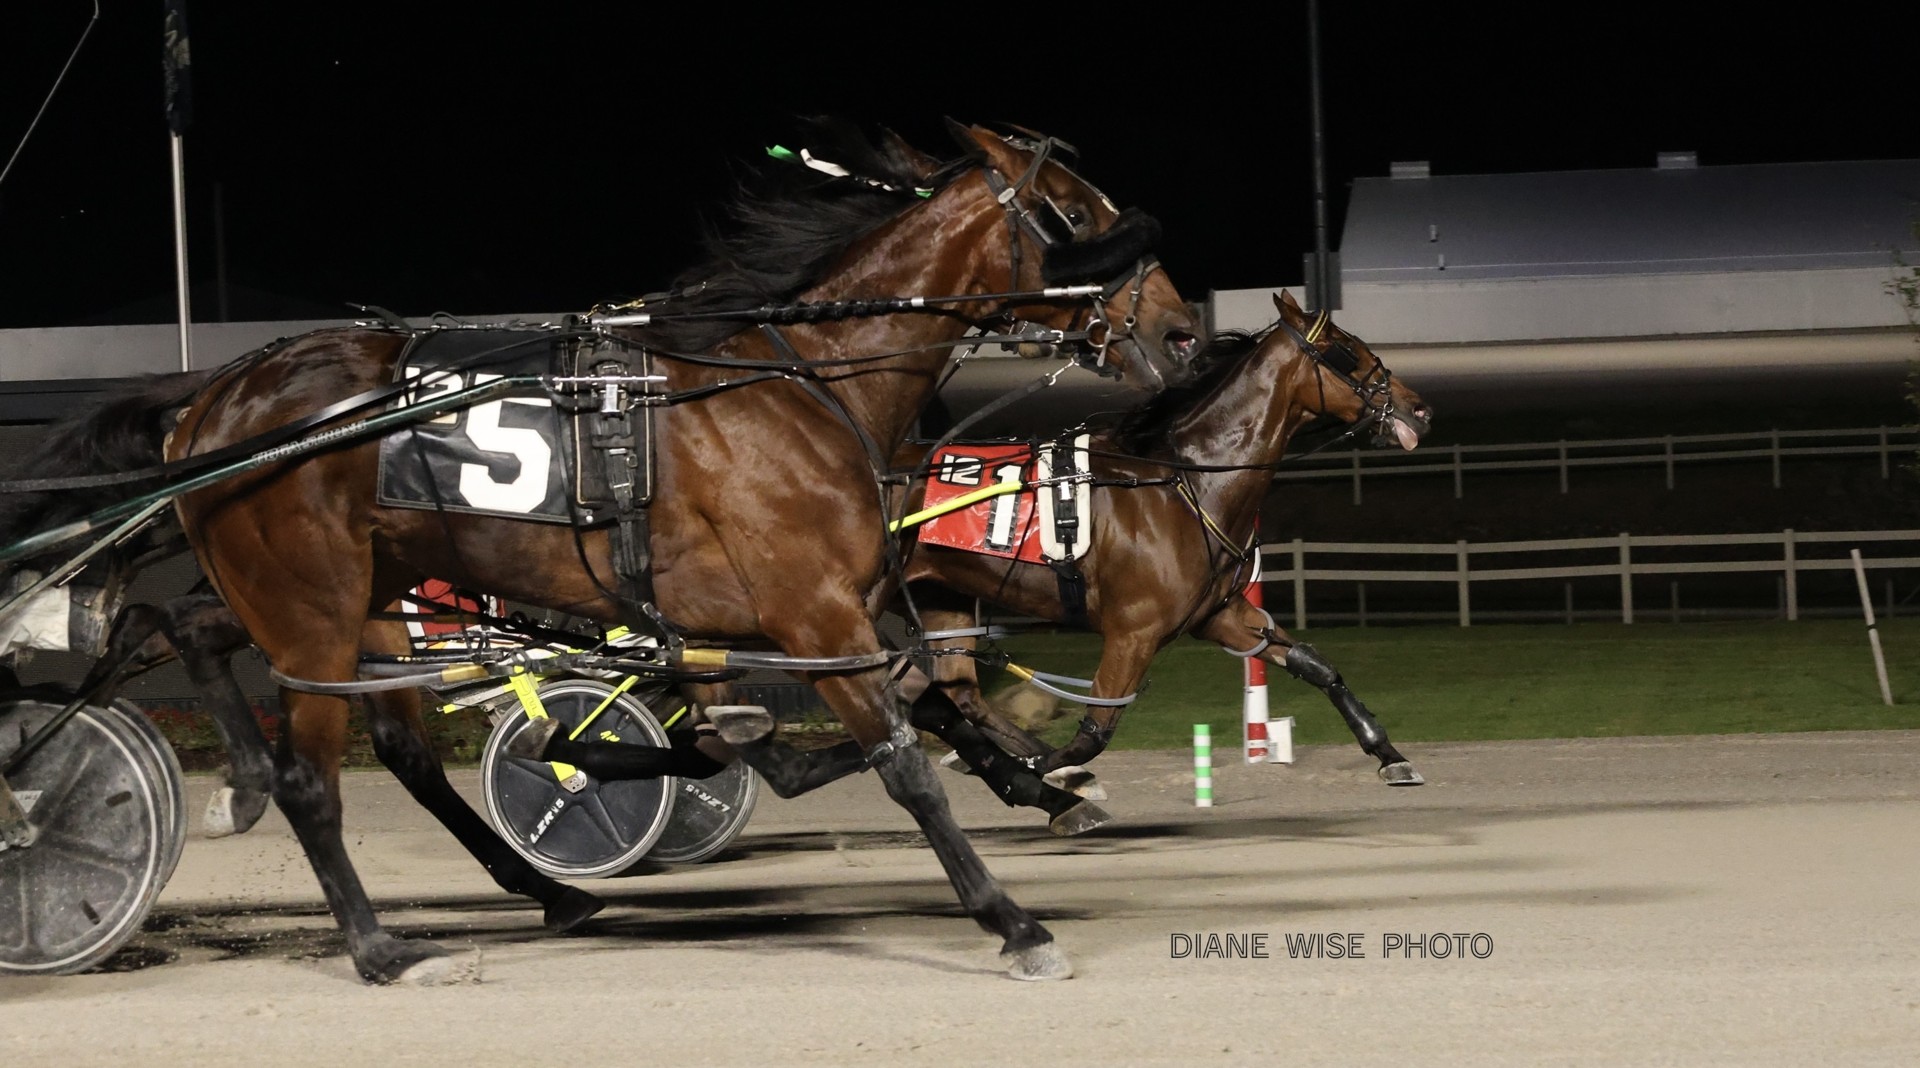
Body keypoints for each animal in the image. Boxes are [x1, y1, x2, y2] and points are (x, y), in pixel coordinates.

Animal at [13, 121, 1197, 984]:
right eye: (1077, 213)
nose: (1182, 331)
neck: (802, 386)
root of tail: (213, 399)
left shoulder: (823, 611)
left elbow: (925, 707)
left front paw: (1046, 780)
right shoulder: (810, 608)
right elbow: (900, 756)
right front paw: (1012, 920)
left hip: (354, 591)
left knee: (212, 639)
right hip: (311, 600)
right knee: (310, 773)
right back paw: (379, 945)